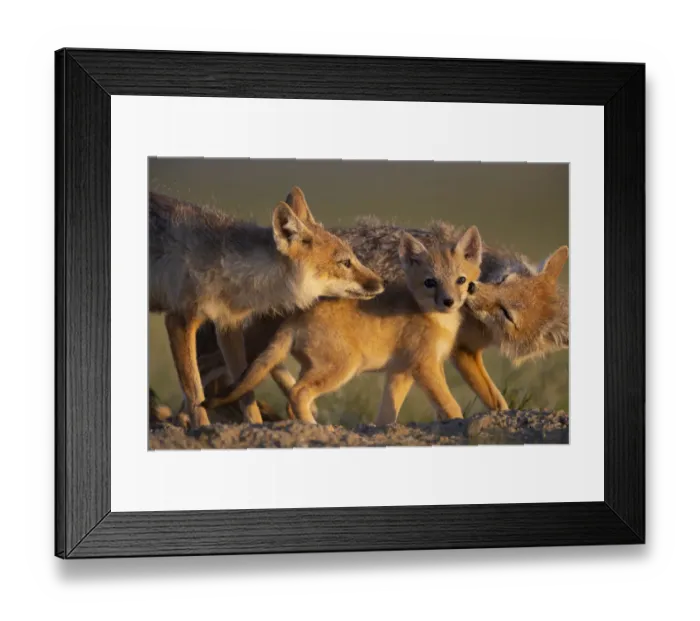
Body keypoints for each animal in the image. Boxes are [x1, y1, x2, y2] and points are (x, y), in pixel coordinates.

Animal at [148, 187, 384, 428]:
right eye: (345, 263)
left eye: (354, 258)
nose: (382, 283)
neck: (230, 270)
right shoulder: (180, 319)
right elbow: (194, 391)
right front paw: (203, 428)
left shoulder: (228, 325)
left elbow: (245, 391)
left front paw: (255, 425)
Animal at [192, 221, 569, 419]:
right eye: (504, 282)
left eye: (508, 314)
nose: (473, 292)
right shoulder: (457, 354)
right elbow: (490, 400)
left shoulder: (441, 357)